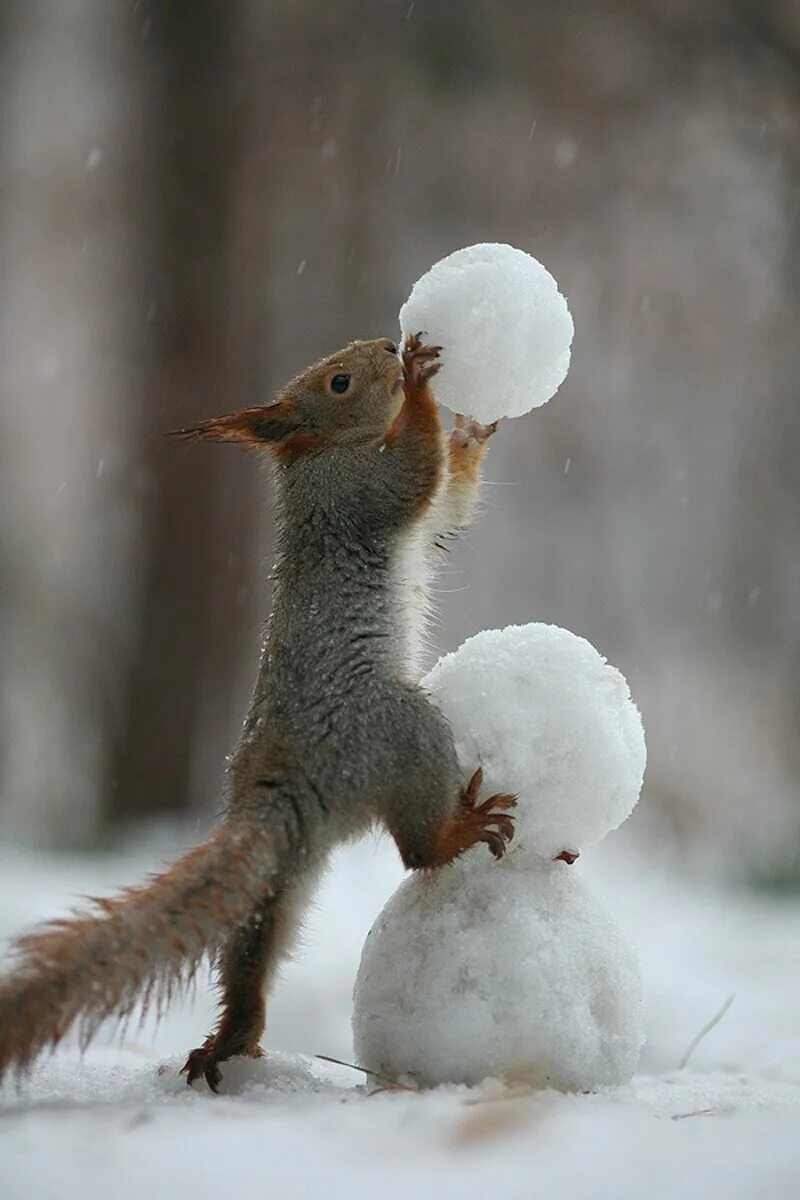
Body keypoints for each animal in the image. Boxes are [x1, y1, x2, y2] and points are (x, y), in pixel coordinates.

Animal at [0, 333, 513, 1094]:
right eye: (338, 381)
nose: (386, 345)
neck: (319, 452)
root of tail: (287, 786)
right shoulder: (359, 491)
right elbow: (418, 473)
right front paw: (421, 386)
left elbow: (448, 503)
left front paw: (472, 430)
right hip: (402, 728)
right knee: (418, 853)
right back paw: (462, 828)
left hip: (281, 882)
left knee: (253, 953)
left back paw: (228, 1041)